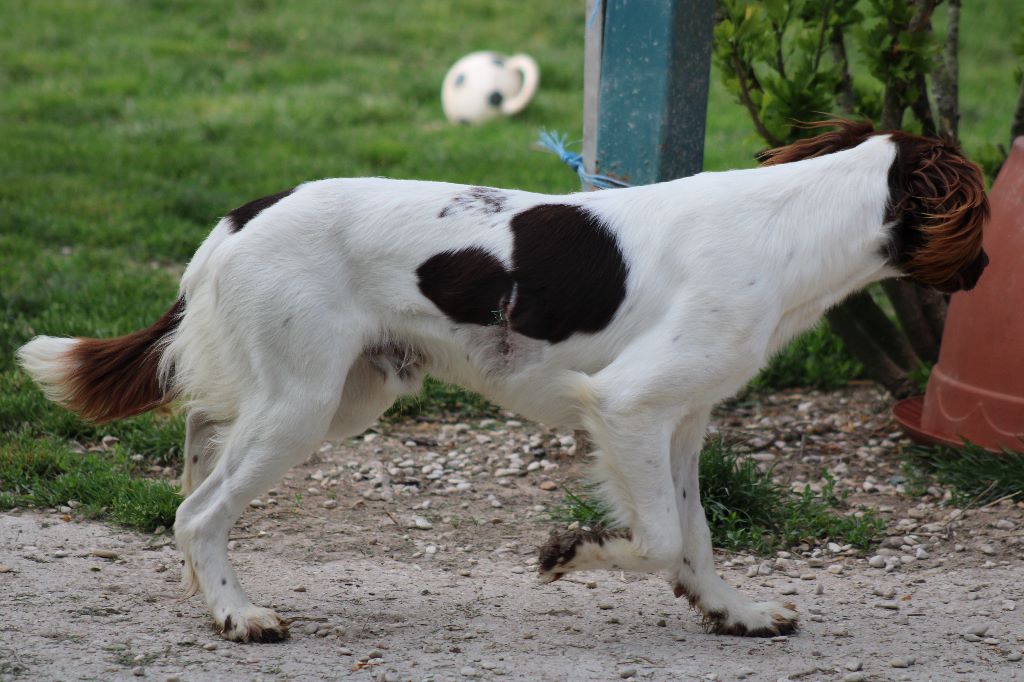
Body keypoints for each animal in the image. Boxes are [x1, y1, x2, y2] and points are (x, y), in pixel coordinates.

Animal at [16, 120, 987, 638]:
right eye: (980, 223)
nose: (981, 275)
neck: (789, 224)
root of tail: (244, 214)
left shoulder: (681, 420)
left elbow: (696, 534)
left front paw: (731, 611)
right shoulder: (630, 406)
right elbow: (660, 538)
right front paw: (572, 553)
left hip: (338, 395)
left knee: (198, 449)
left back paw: (203, 585)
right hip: (302, 403)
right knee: (199, 506)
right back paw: (238, 613)